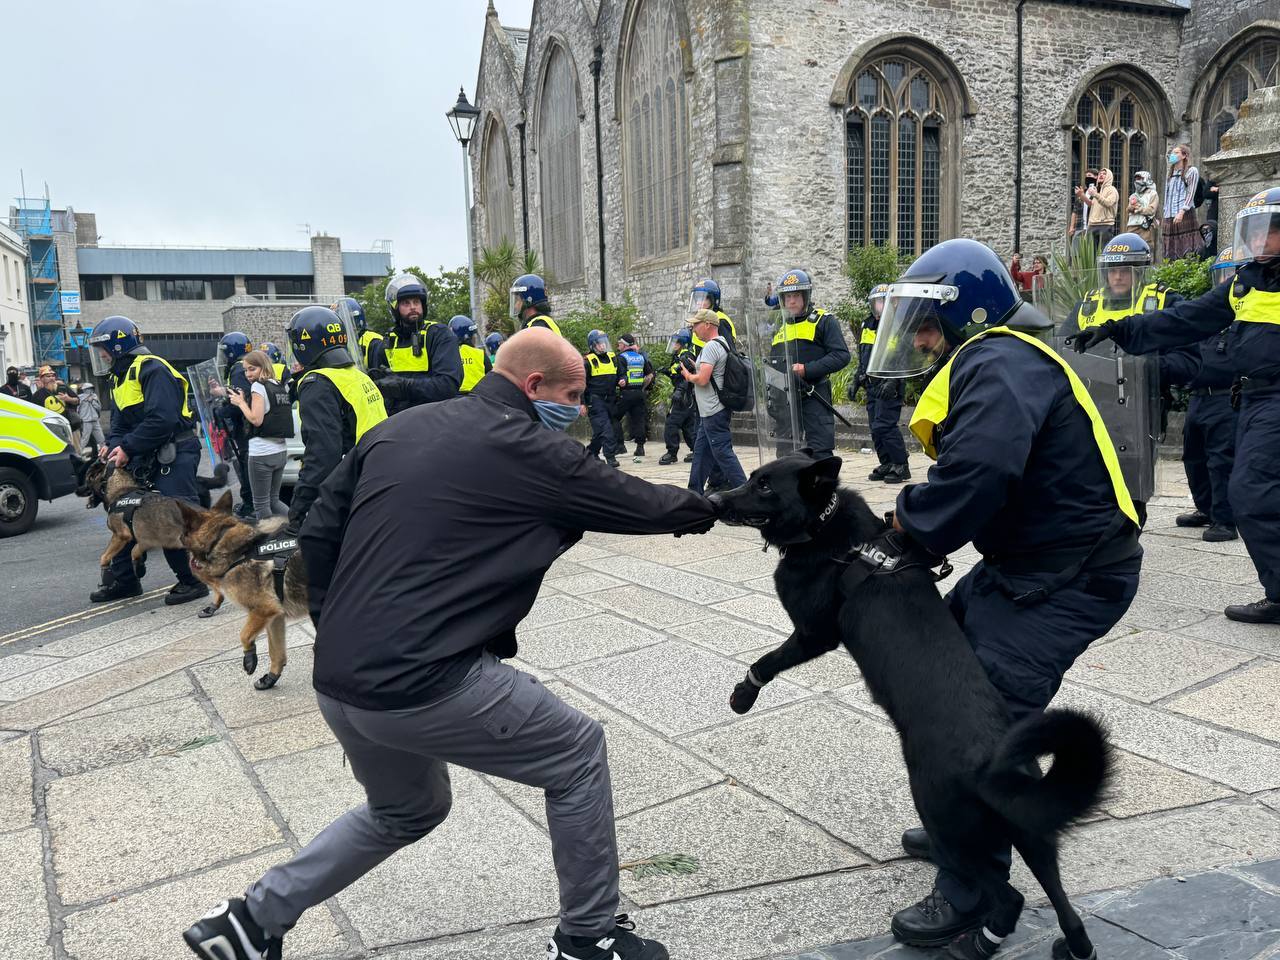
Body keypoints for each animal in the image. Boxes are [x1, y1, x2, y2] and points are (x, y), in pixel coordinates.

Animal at [176, 496, 308, 691]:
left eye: (184, 528)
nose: (177, 537)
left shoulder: (262, 610)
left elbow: (244, 635)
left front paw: (249, 656)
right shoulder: (275, 616)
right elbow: (275, 652)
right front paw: (271, 678)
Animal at [721, 455, 1111, 960]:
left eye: (765, 486)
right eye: (753, 478)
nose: (715, 499)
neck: (830, 528)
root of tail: (997, 764)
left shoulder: (812, 634)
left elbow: (766, 660)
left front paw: (742, 696)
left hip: (945, 819)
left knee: (1008, 897)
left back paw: (976, 944)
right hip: (1032, 832)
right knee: (1065, 907)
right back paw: (1074, 946)